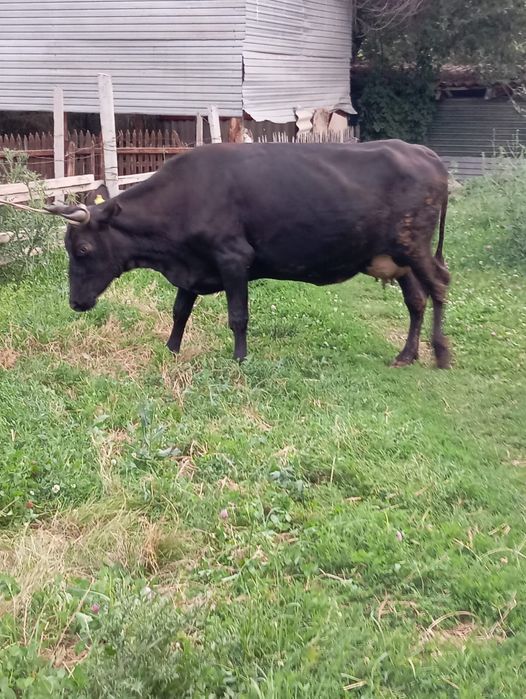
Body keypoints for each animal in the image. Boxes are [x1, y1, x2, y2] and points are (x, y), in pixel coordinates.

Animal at [45, 139, 451, 368]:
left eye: (82, 249)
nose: (75, 302)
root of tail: (423, 153)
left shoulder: (233, 258)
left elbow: (238, 316)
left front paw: (240, 359)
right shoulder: (191, 265)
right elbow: (179, 310)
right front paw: (171, 350)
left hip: (415, 246)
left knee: (439, 287)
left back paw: (441, 354)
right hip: (398, 257)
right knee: (416, 299)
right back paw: (406, 355)